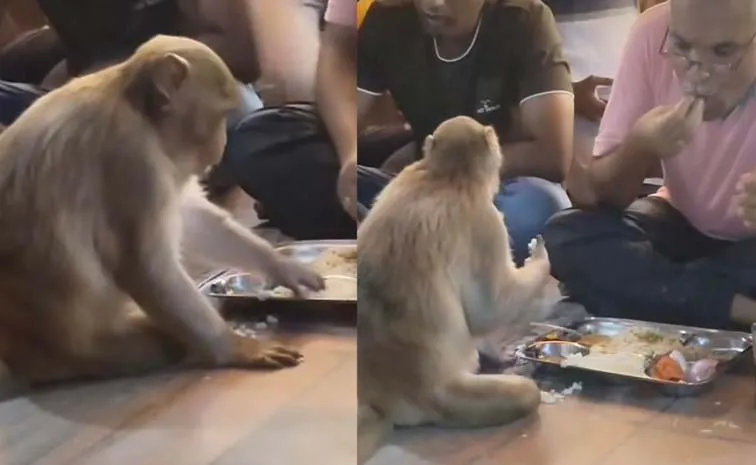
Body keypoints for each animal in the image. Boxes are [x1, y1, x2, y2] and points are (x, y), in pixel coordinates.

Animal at [0, 34, 324, 390]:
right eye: (220, 116)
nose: (221, 145)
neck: (136, 108)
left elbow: (193, 220)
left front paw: (282, 266)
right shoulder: (132, 159)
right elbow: (146, 266)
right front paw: (234, 347)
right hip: (81, 351)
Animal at [358, 115, 552, 460]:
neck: (443, 175)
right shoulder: (486, 221)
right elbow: (488, 310)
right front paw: (541, 260)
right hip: (444, 399)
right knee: (526, 394)